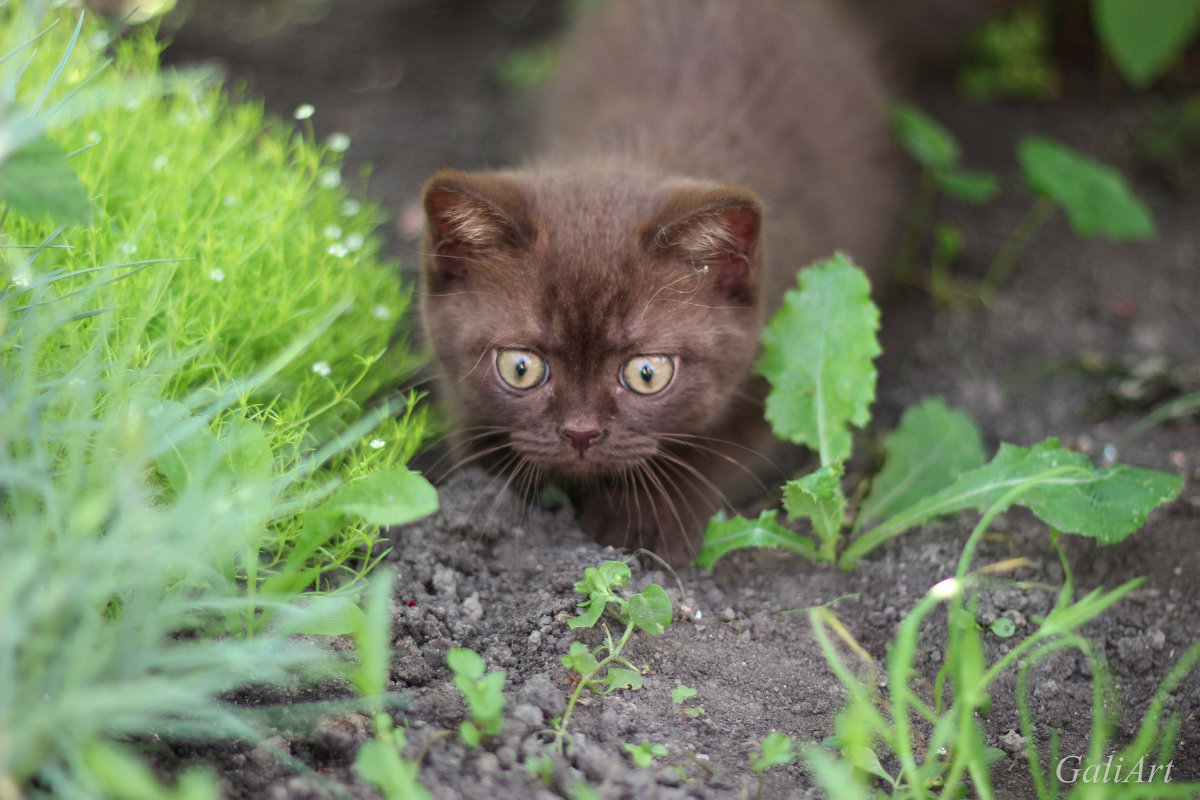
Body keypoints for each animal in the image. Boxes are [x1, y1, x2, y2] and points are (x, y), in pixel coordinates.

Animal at [417, 0, 950, 566]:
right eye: (520, 368)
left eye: (648, 373)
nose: (581, 433)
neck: (637, 149)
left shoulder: (780, 364)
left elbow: (722, 451)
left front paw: (642, 522)